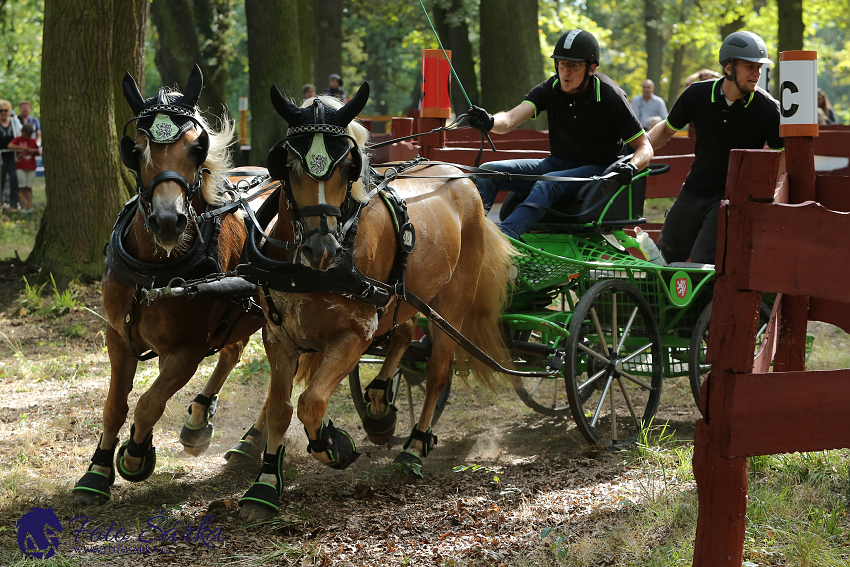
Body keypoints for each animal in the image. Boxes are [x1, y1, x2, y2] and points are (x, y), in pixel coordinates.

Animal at [73, 66, 266, 506]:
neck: (155, 271)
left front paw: (135, 455)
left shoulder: (188, 350)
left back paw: (251, 439)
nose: (167, 221)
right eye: (137, 147)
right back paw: (198, 422)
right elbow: (115, 405)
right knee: (232, 352)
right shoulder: (118, 337)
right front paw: (97, 470)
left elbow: (149, 403)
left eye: (197, 147)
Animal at [235, 82, 512, 520]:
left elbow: (311, 401)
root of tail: (460, 176)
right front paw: (263, 485)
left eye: (347, 166)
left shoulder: (355, 335)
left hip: (450, 303)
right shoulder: (278, 336)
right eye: (288, 164)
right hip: (405, 296)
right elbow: (280, 407)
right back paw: (381, 402)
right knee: (404, 333)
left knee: (437, 371)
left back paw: (414, 447)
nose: (321, 249)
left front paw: (333, 445)